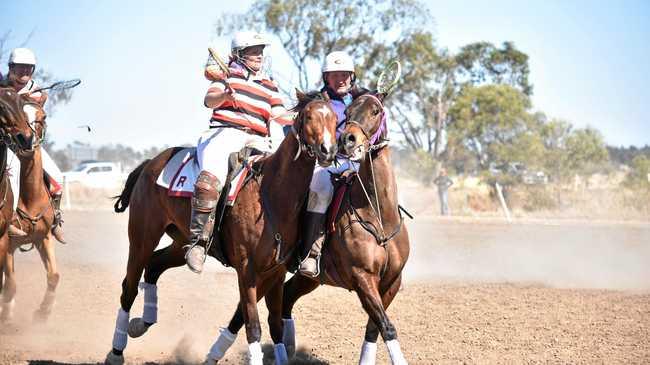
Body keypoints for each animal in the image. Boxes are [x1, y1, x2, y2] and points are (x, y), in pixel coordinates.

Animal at [104, 91, 336, 364]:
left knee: (154, 266)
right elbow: (253, 325)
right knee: (129, 288)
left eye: (335, 119)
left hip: (182, 242)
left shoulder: (275, 271)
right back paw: (116, 351)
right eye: (309, 116)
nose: (328, 150)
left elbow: (275, 326)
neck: (272, 194)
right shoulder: (247, 269)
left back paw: (141, 323)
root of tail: (149, 164)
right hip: (142, 236)